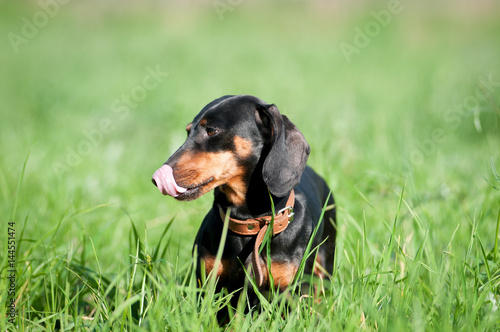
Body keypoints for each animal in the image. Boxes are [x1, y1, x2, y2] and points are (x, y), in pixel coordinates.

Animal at [152, 94, 336, 300]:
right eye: (188, 131)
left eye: (211, 130)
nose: (155, 179)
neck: (250, 223)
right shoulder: (208, 287)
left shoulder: (290, 292)